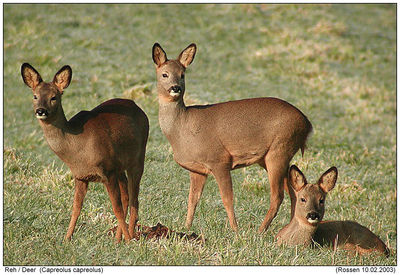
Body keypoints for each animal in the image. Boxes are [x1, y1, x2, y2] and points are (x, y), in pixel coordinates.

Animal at [20, 63, 148, 243]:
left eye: (54, 97)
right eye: (35, 96)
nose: (41, 111)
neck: (76, 148)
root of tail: (138, 107)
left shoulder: (107, 170)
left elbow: (115, 208)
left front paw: (129, 241)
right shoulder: (80, 176)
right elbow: (76, 208)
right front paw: (67, 239)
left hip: (138, 158)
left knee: (134, 200)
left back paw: (130, 237)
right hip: (120, 167)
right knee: (127, 197)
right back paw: (118, 239)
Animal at [152, 44, 312, 234]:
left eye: (182, 74)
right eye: (164, 74)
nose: (175, 88)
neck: (182, 129)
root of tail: (306, 123)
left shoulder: (219, 160)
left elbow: (227, 198)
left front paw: (234, 229)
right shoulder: (197, 169)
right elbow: (192, 199)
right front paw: (186, 227)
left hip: (279, 149)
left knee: (278, 195)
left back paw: (260, 230)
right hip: (271, 157)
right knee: (294, 193)